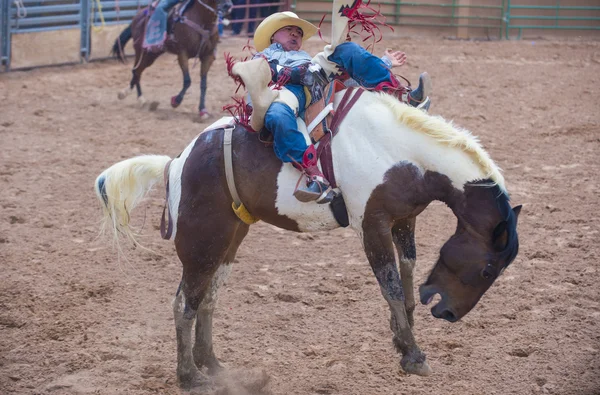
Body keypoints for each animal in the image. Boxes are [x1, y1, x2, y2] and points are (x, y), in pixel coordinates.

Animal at [94, 89, 520, 386]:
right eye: (487, 269)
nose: (449, 315)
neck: (401, 150)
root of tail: (177, 162)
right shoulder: (372, 225)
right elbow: (393, 286)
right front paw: (414, 356)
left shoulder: (404, 221)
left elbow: (408, 275)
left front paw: (403, 340)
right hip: (202, 244)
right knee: (185, 302)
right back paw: (190, 377)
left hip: (229, 239)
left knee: (208, 300)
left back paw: (212, 365)